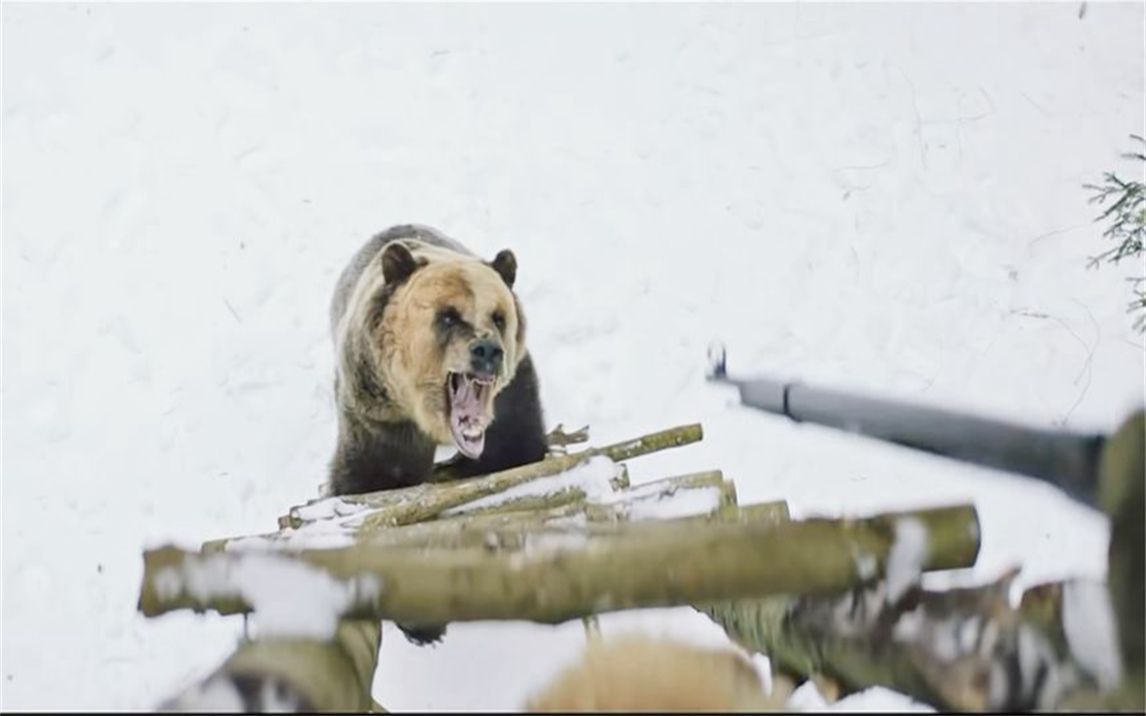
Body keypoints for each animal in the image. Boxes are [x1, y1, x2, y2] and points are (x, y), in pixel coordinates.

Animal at [330, 224, 547, 497]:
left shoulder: (511, 392)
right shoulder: (381, 412)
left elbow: (514, 446)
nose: (487, 350)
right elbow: (378, 470)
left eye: (499, 317)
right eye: (448, 316)